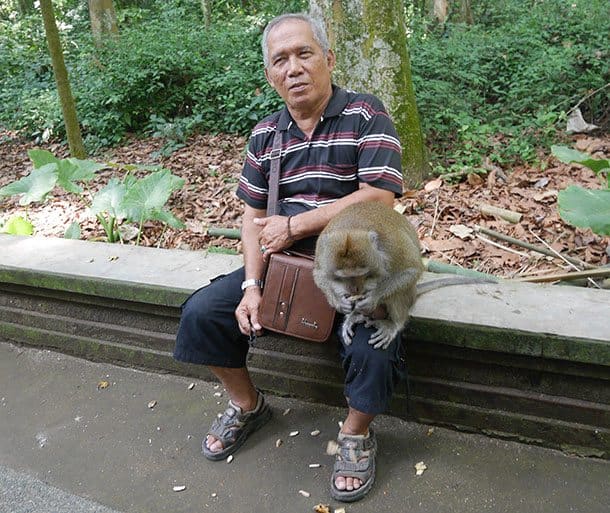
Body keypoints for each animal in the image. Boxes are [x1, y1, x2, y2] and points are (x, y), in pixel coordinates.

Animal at [314, 202, 494, 350]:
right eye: (344, 277)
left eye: (364, 275)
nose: (355, 289)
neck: (352, 228)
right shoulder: (322, 249)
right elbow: (318, 274)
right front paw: (340, 302)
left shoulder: (391, 245)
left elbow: (411, 270)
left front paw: (372, 299)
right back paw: (354, 315)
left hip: (408, 294)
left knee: (399, 291)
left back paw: (393, 323)